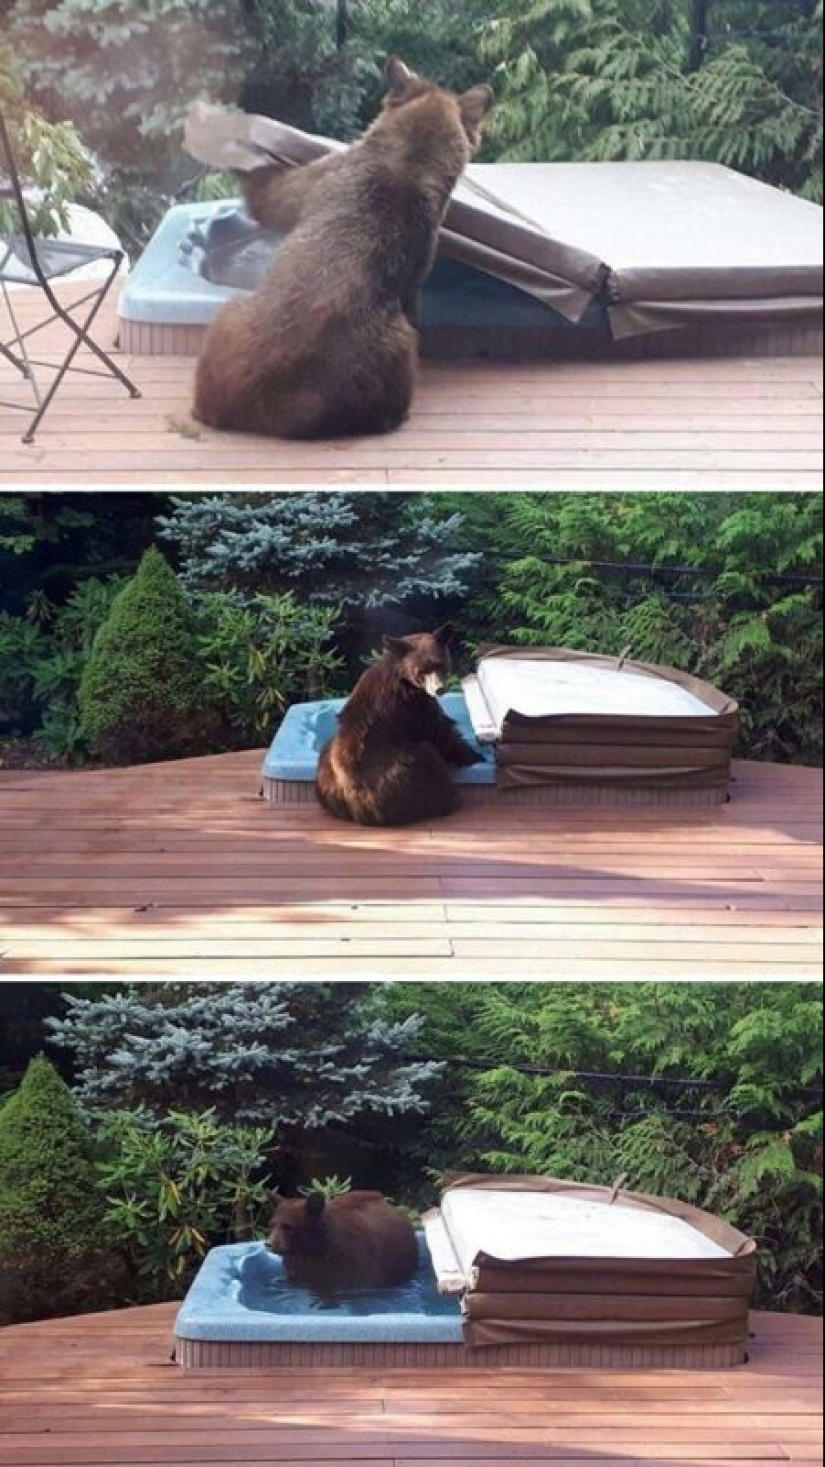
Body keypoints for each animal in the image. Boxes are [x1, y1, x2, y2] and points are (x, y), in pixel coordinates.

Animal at [316, 624, 482, 828]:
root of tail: (362, 812)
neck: (404, 678)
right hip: (400, 771)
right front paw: (475, 756)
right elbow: (440, 730)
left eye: (440, 664)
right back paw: (451, 799)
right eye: (422, 671)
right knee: (428, 761)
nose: (439, 689)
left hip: (327, 773)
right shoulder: (412, 706)